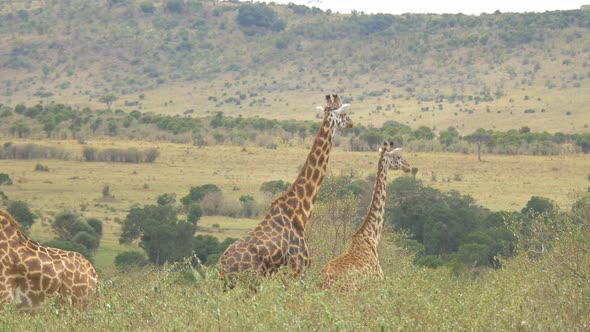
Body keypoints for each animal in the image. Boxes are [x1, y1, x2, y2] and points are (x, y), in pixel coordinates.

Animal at [220, 94, 354, 288]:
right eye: (343, 113)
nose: (351, 123)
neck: (300, 209)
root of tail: (222, 267)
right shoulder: (299, 268)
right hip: (250, 282)